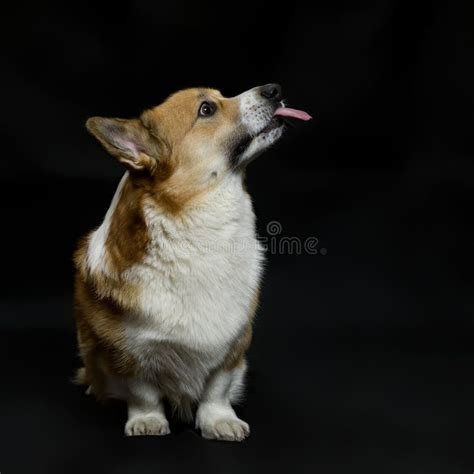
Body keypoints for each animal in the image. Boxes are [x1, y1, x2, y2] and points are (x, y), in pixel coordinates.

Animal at [74, 84, 312, 440]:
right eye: (206, 109)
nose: (274, 89)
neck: (199, 226)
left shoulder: (233, 344)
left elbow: (217, 388)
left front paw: (219, 420)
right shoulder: (128, 352)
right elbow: (142, 392)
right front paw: (148, 421)